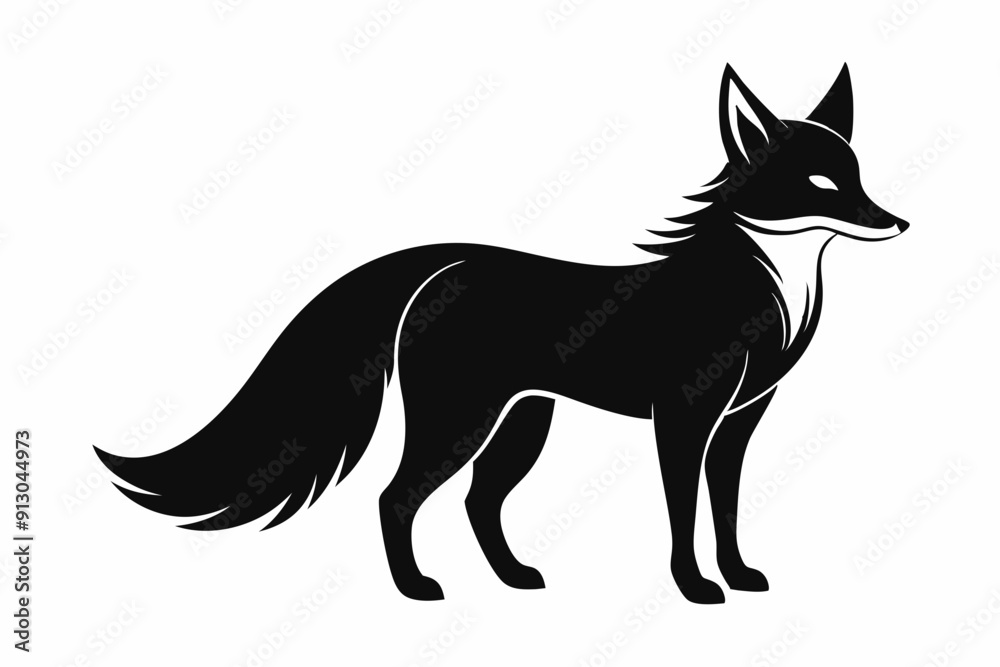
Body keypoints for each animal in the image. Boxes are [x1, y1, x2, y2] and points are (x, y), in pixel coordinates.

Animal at [96, 64, 908, 604]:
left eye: (858, 175)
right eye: (821, 184)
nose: (898, 222)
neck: (773, 284)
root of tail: (440, 264)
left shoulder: (740, 422)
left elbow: (729, 506)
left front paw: (738, 575)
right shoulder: (682, 418)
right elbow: (682, 511)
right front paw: (695, 586)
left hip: (520, 424)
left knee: (477, 503)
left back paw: (514, 577)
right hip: (463, 421)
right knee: (396, 498)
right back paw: (417, 587)